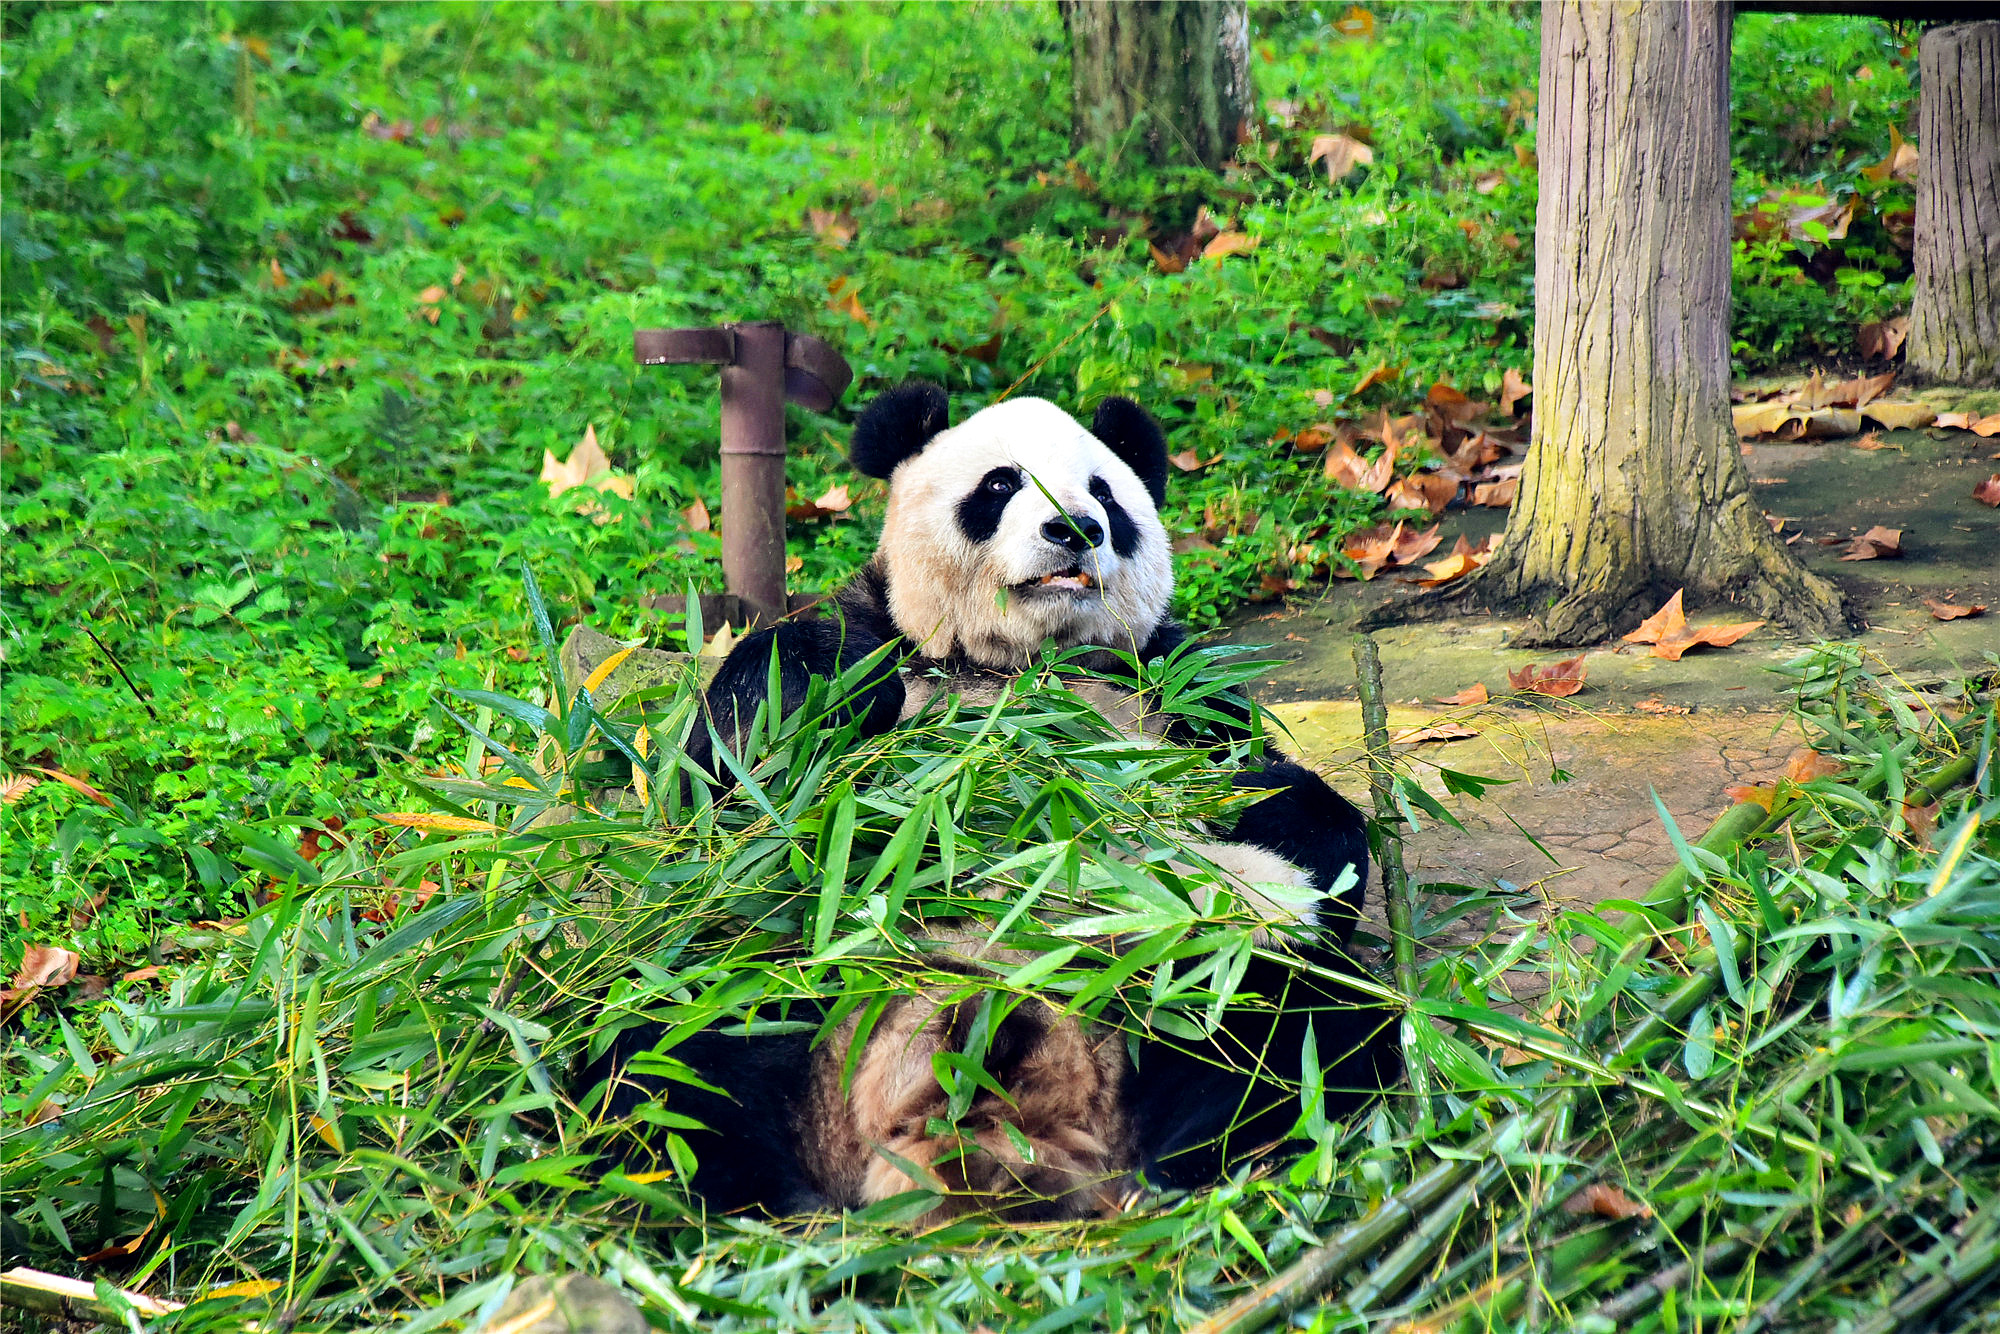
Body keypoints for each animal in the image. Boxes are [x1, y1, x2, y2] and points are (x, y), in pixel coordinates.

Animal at [572, 384, 1400, 1224]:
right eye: (1001, 485)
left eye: (1106, 494)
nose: (1076, 528)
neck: (1017, 667)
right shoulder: (878, 636)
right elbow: (733, 787)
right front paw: (836, 702)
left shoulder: (1173, 685)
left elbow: (1298, 821)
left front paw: (1268, 817)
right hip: (786, 986)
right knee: (670, 1053)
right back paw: (750, 1197)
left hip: (1175, 985)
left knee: (1298, 1034)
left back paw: (1191, 1167)